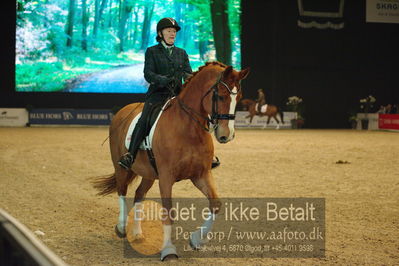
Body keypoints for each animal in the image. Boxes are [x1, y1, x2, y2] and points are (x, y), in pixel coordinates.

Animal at [94, 61, 250, 260]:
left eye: (239, 97)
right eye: (221, 96)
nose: (226, 135)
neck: (188, 129)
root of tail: (123, 111)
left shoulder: (201, 174)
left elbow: (216, 204)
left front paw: (196, 240)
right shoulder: (167, 177)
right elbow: (168, 211)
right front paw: (168, 250)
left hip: (149, 174)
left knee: (138, 194)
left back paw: (137, 233)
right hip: (121, 167)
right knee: (122, 191)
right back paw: (121, 228)